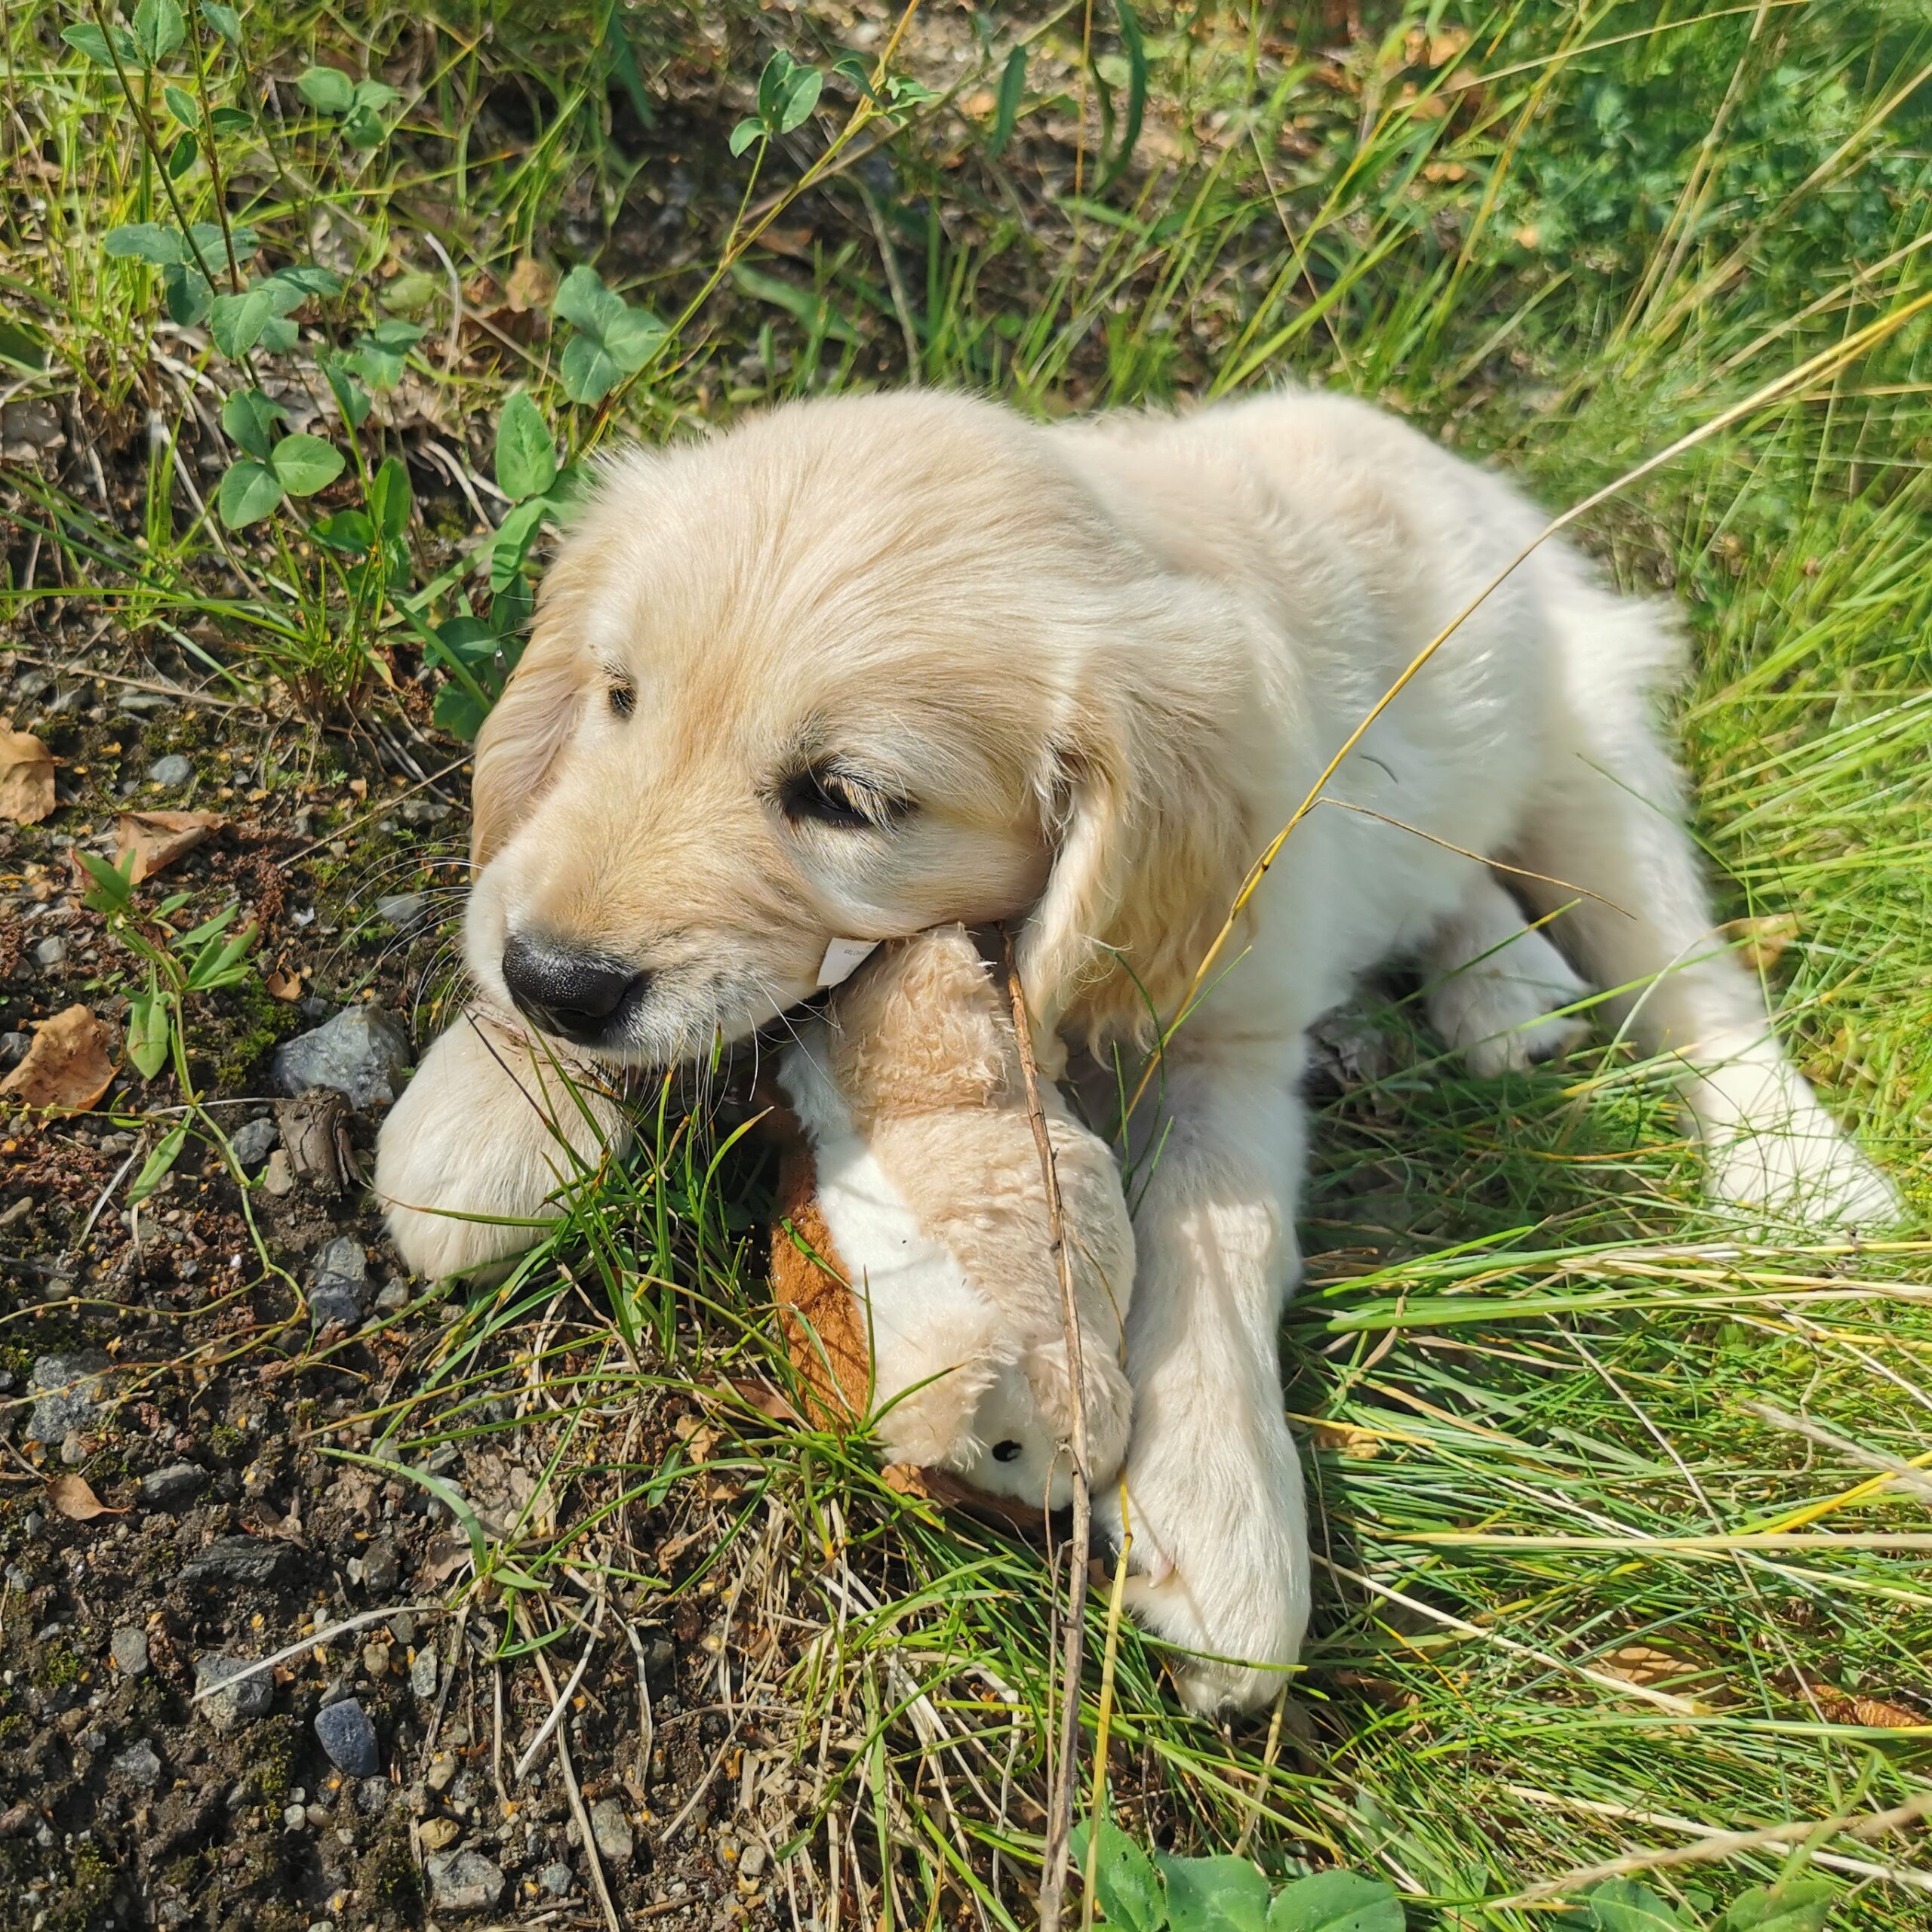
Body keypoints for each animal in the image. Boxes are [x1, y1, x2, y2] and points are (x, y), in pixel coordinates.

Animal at [376, 387, 1900, 1713]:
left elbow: (1216, 1231)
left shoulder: (1233, 1022)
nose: (557, 983)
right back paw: (1506, 985)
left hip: (1592, 752)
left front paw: (1223, 1524)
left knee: (1694, 974)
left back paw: (1794, 1171)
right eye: (619, 696)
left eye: (847, 800)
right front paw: (494, 1107)